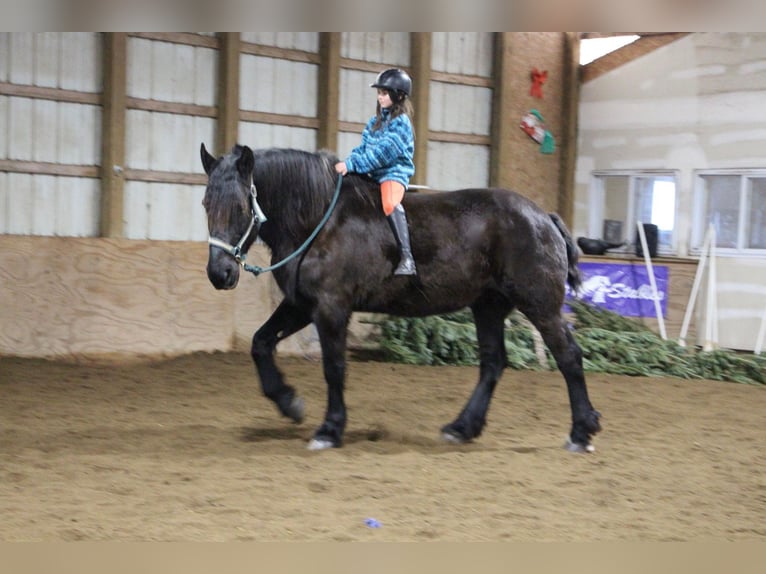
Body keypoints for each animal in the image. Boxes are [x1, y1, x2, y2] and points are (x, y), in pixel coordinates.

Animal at [201, 143, 604, 454]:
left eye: (240, 206)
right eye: (206, 203)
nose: (220, 273)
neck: (320, 221)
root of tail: (544, 217)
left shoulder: (331, 308)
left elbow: (334, 368)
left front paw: (329, 430)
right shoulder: (302, 305)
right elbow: (260, 343)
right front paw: (289, 403)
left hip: (540, 305)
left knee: (569, 356)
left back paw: (581, 432)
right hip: (488, 305)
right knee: (493, 363)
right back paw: (462, 427)